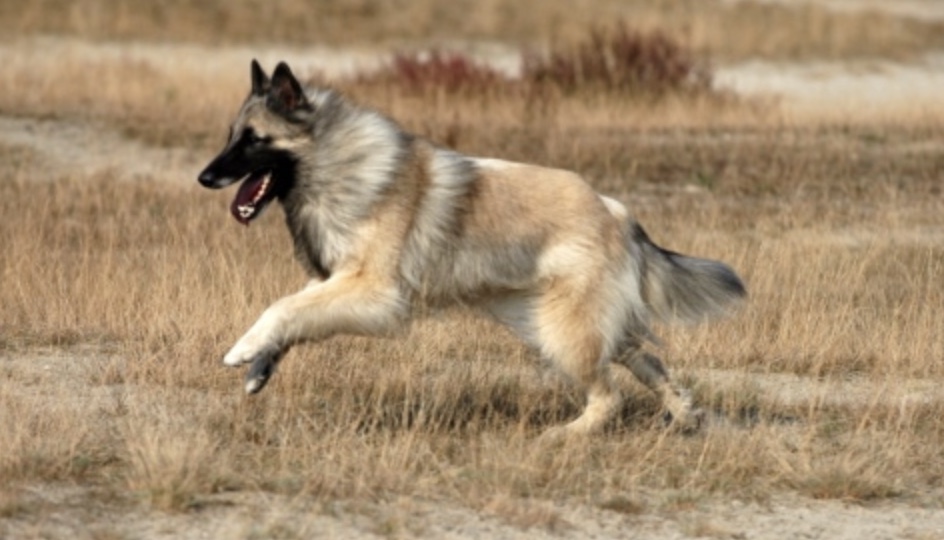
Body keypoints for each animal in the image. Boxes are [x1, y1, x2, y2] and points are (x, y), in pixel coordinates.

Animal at [197, 59, 744, 436]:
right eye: (231, 136)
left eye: (254, 140)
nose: (204, 178)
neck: (337, 164)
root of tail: (615, 212)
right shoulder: (333, 282)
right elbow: (291, 313)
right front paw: (259, 367)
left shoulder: (372, 292)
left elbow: (281, 308)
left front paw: (242, 350)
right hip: (559, 321)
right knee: (649, 361)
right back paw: (685, 416)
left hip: (563, 332)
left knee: (610, 396)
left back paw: (564, 436)